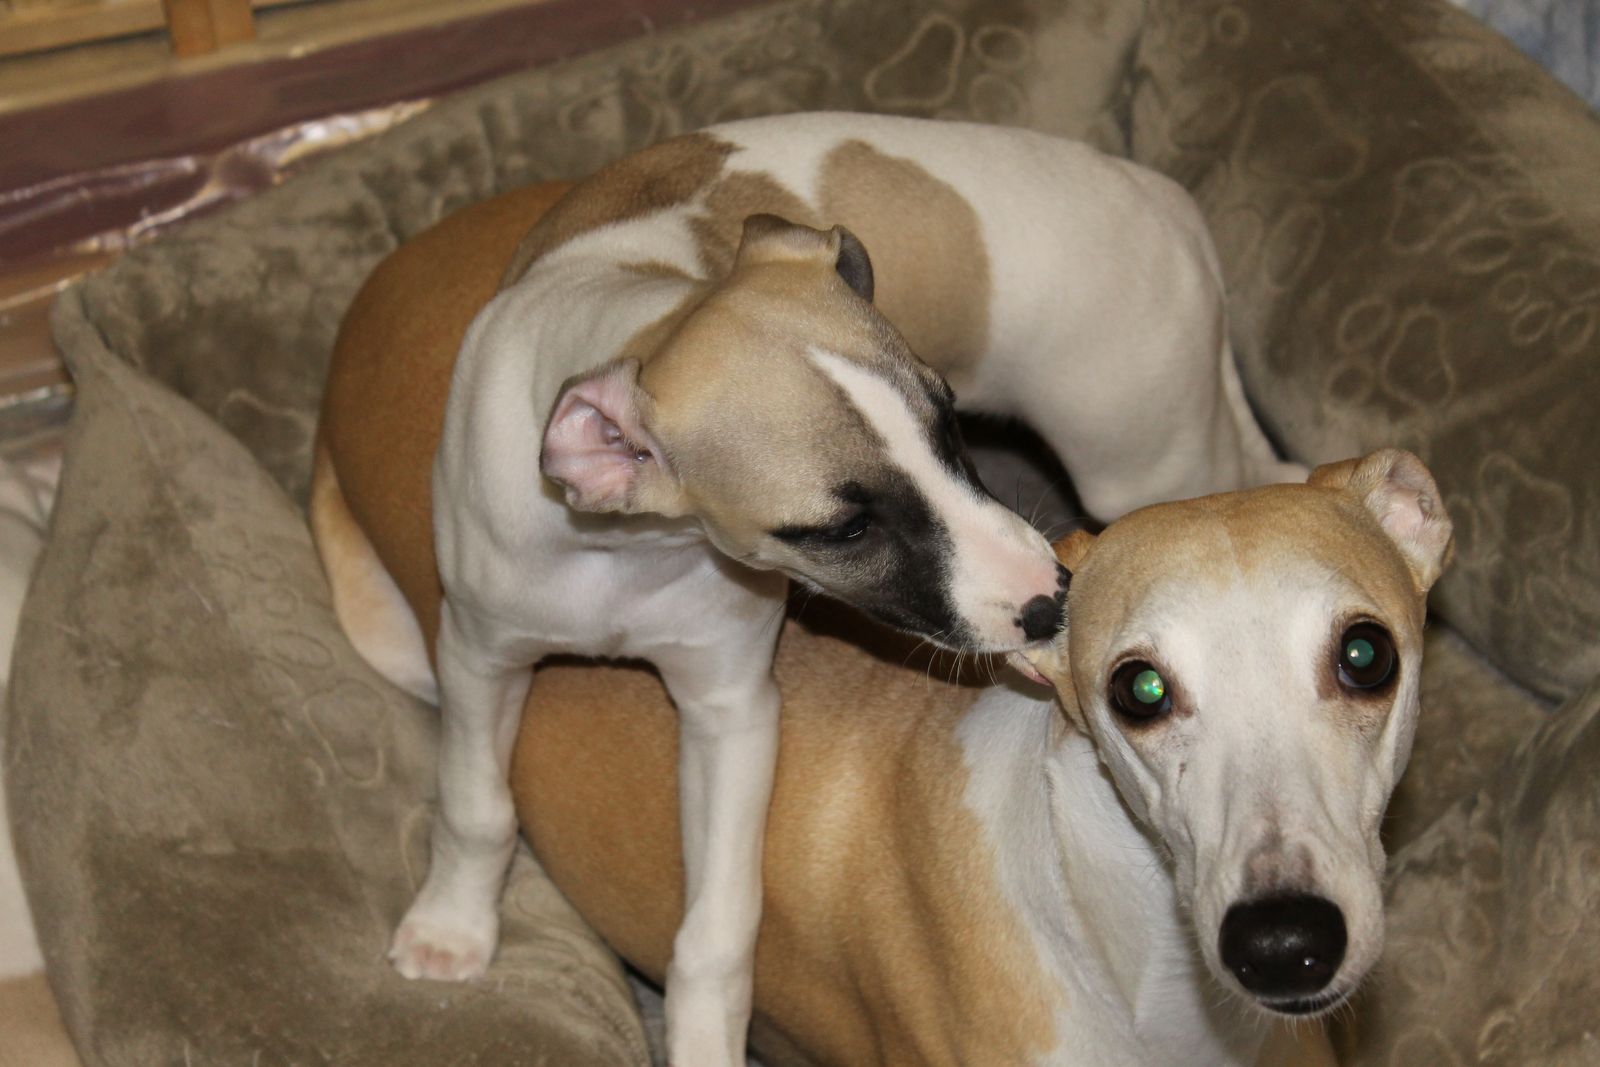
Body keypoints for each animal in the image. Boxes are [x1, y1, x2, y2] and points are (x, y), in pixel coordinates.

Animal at [311, 112, 1302, 1064]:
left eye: (949, 424)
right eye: (842, 529)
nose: (1051, 599)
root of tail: (1159, 195)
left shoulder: (732, 710)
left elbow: (716, 928)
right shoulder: (479, 655)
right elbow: (475, 804)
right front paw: (450, 928)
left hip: (1146, 453)